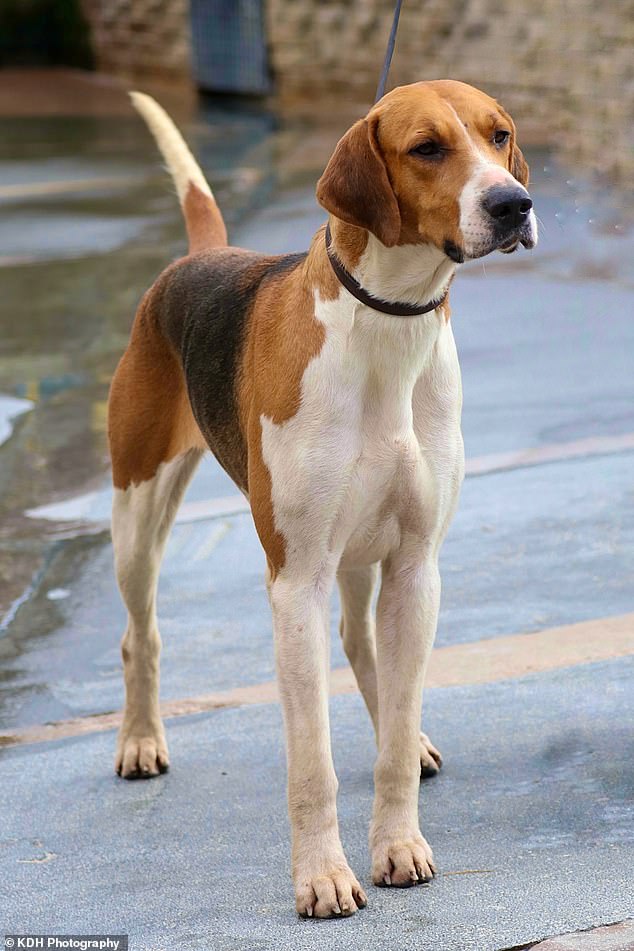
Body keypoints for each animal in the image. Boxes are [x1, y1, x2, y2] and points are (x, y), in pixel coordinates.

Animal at [108, 83, 532, 924]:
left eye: (499, 135)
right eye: (427, 148)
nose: (513, 204)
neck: (387, 324)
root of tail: (199, 255)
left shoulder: (416, 566)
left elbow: (394, 730)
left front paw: (398, 843)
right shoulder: (294, 580)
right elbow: (313, 764)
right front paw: (324, 877)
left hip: (365, 556)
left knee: (365, 646)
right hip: (137, 517)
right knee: (141, 635)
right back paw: (140, 740)